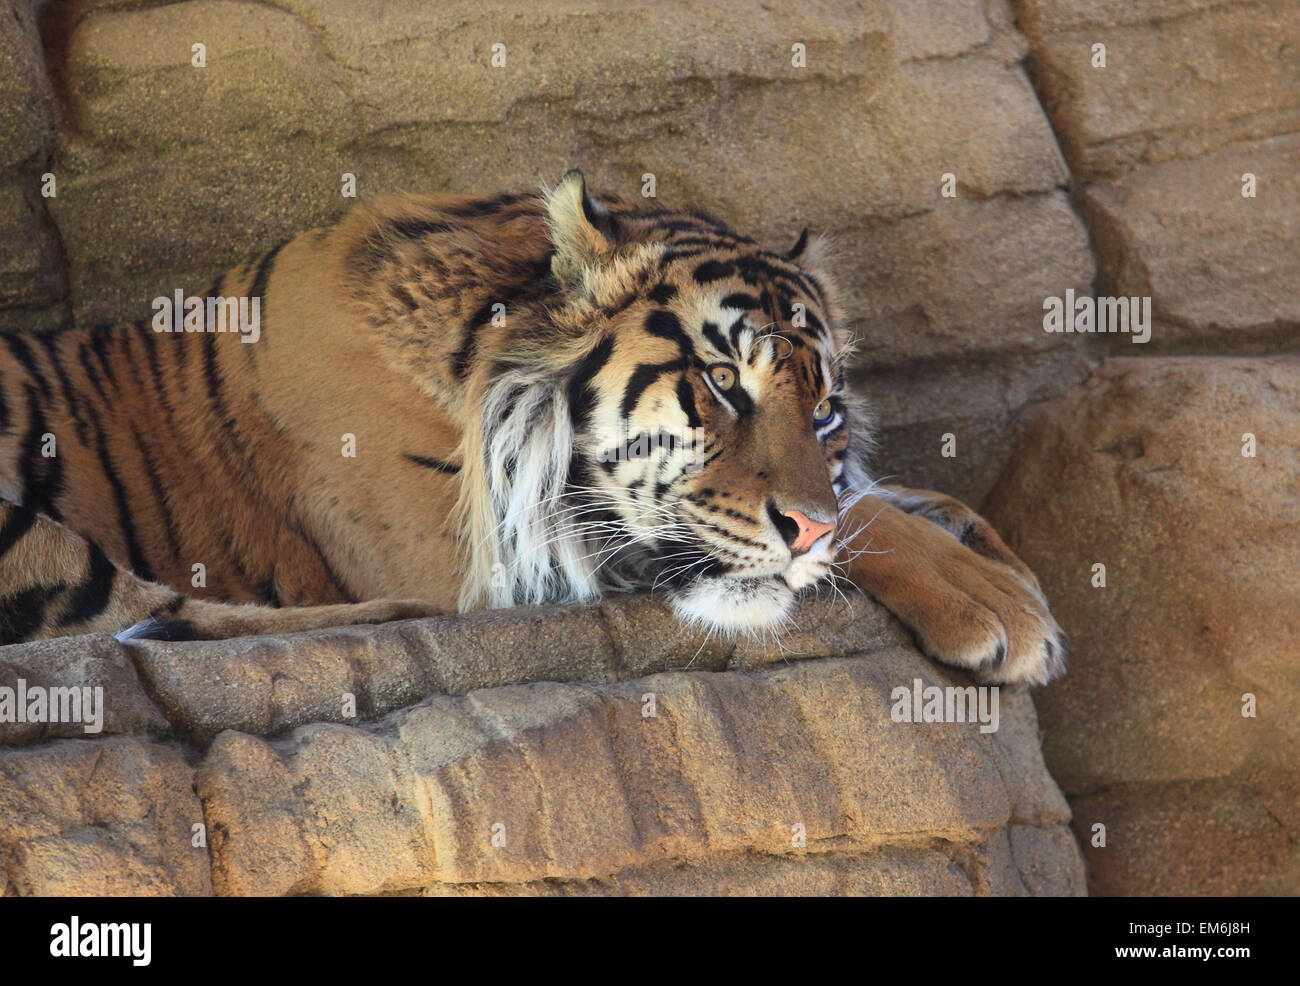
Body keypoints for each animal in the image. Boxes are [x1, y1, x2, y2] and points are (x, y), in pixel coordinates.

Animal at [0, 170, 1066, 686]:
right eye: (723, 382)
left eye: (827, 409)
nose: (802, 531)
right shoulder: (492, 550)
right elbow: (860, 520)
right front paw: (1003, 610)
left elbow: (876, 495)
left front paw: (982, 543)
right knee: (137, 616)